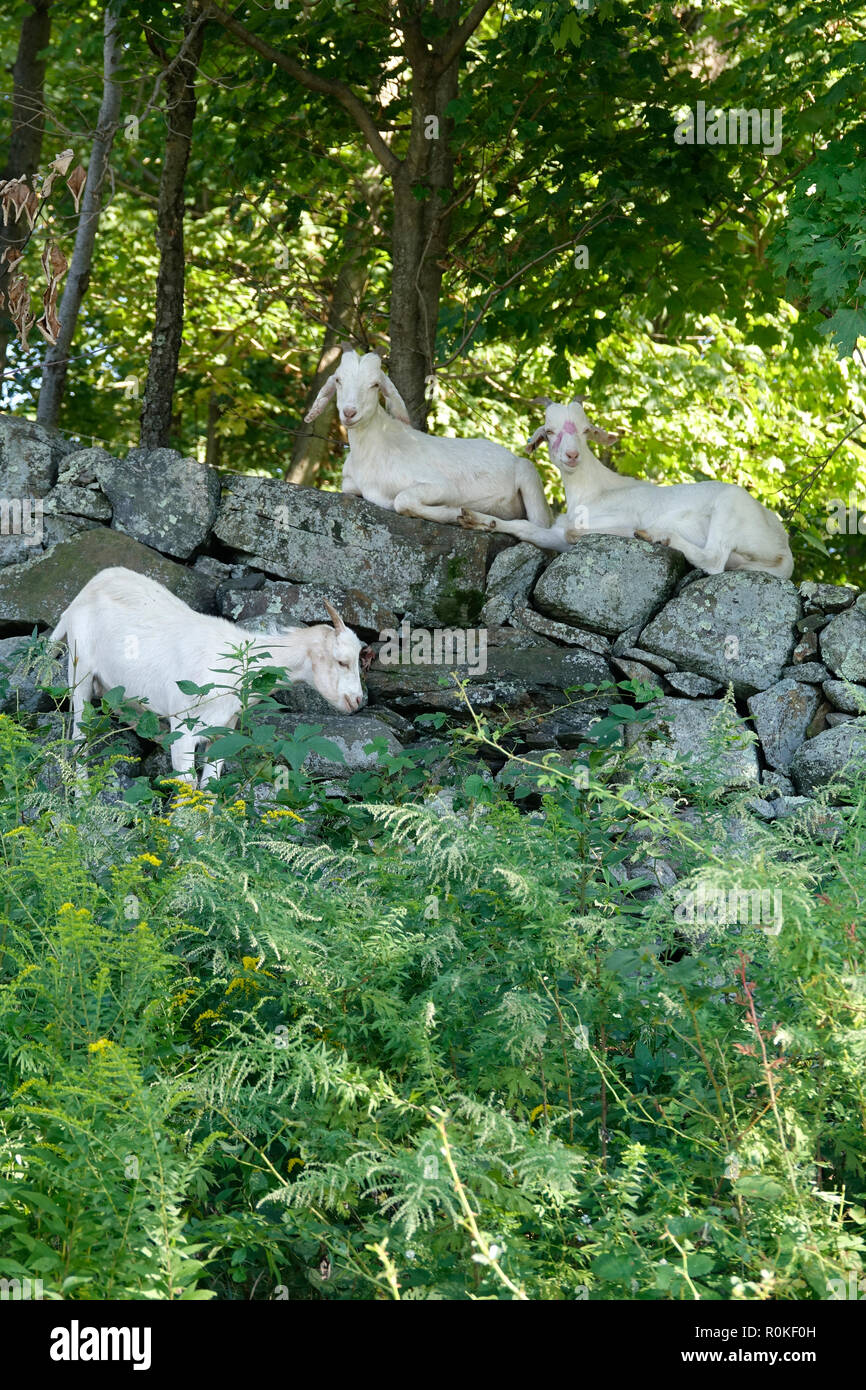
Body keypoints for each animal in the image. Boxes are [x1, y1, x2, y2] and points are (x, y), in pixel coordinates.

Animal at [50, 564, 369, 783]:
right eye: (342, 662)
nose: (356, 701)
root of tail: (82, 595)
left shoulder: (222, 736)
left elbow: (209, 792)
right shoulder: (183, 731)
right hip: (79, 671)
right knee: (79, 735)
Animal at [303, 344, 547, 528]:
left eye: (375, 384)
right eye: (338, 380)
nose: (349, 413)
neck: (374, 449)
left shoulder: (442, 486)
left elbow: (402, 500)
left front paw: (454, 514)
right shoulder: (350, 484)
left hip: (528, 474)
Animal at [464, 400, 795, 578]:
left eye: (585, 430)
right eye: (549, 431)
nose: (572, 455)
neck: (593, 491)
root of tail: (783, 544)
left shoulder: (622, 516)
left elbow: (575, 532)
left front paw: (632, 534)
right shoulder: (554, 534)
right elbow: (525, 528)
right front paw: (475, 519)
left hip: (731, 504)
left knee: (714, 560)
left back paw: (658, 536)